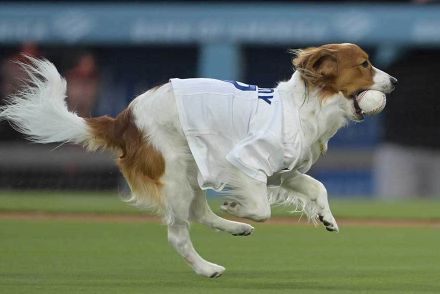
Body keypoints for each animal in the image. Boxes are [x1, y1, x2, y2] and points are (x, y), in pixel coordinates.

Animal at [0, 43, 398, 278]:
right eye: (365, 64)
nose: (393, 80)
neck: (305, 108)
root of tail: (123, 119)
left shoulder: (282, 172)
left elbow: (317, 187)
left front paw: (326, 217)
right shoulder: (244, 159)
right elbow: (261, 207)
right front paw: (238, 205)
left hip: (190, 169)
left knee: (198, 212)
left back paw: (235, 229)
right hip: (175, 173)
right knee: (179, 232)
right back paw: (207, 266)